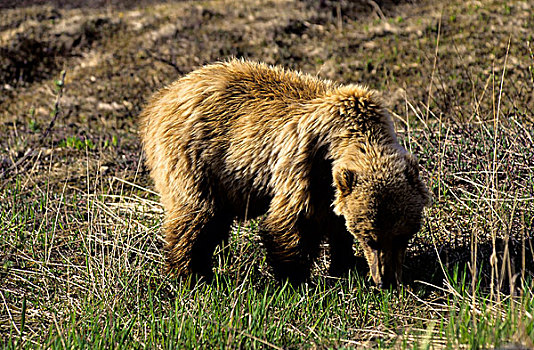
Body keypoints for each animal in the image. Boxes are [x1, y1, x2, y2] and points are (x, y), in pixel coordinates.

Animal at [139, 58, 432, 288]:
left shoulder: (331, 185)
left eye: (403, 234)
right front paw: (295, 278)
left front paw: (346, 266)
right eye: (370, 237)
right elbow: (290, 222)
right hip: (195, 157)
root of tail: (158, 99)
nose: (386, 280)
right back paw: (191, 275)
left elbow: (336, 223)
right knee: (197, 214)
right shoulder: (306, 165)